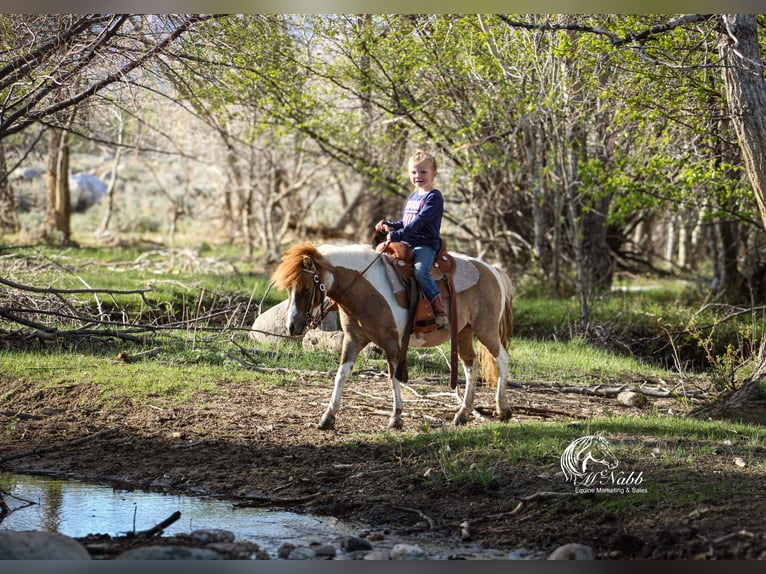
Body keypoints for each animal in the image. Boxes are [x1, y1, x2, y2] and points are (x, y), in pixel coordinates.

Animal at [271, 241, 514, 430]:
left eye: (304, 288)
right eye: (289, 289)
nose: (292, 326)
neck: (365, 288)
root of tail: (492, 270)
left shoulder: (391, 342)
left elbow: (393, 377)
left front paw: (395, 418)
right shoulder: (353, 340)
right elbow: (341, 375)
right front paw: (327, 417)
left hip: (486, 330)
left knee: (502, 359)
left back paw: (502, 409)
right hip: (464, 332)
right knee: (471, 366)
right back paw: (462, 414)